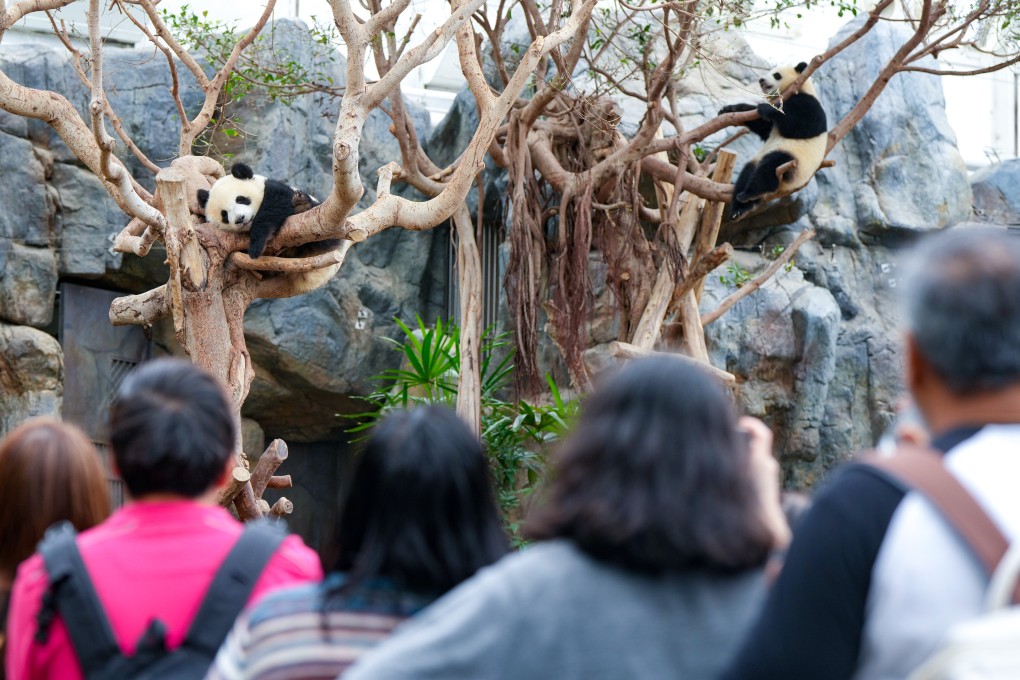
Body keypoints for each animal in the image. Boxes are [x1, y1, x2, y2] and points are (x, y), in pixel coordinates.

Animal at [197, 162, 342, 292]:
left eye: (241, 199)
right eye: (224, 215)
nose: (240, 219)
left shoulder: (274, 188)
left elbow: (275, 203)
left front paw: (256, 246)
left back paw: (302, 205)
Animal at [719, 62, 827, 221]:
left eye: (776, 75)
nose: (761, 80)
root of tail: (785, 188)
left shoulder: (809, 103)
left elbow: (802, 125)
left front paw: (766, 108)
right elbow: (765, 127)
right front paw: (730, 109)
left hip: (794, 161)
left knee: (770, 167)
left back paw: (751, 193)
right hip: (761, 161)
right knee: (747, 172)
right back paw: (741, 207)